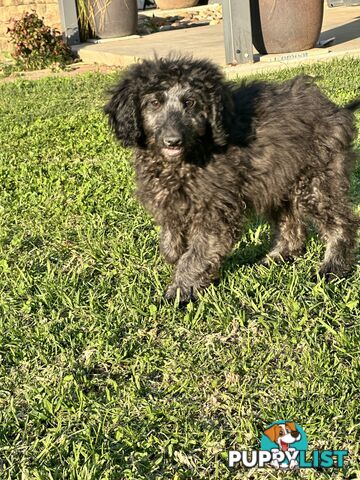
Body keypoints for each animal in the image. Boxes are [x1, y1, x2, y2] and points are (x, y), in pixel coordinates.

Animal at [105, 55, 358, 304]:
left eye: (190, 102)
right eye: (154, 103)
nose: (173, 141)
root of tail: (336, 110)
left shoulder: (215, 212)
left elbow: (195, 255)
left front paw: (178, 292)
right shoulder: (171, 203)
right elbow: (171, 239)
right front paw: (175, 257)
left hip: (316, 181)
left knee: (341, 223)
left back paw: (333, 268)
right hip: (278, 182)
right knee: (291, 223)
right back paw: (278, 257)